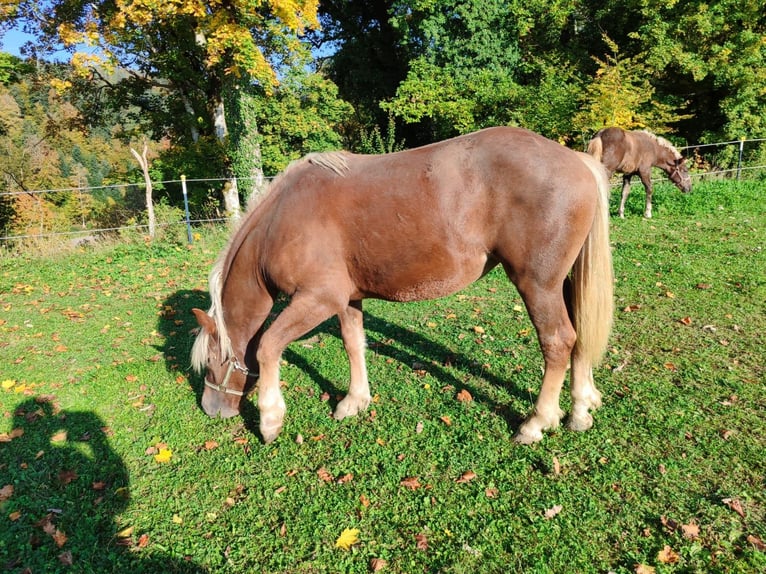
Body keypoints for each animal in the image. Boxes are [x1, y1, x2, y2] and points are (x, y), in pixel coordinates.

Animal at [191, 126, 614, 445]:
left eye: (210, 363)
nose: (211, 409)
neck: (282, 221)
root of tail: (577, 160)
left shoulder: (317, 299)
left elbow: (267, 346)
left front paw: (270, 419)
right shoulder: (347, 299)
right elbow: (353, 344)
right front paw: (355, 400)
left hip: (537, 285)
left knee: (558, 340)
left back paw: (538, 422)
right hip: (561, 281)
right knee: (579, 331)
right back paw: (581, 406)